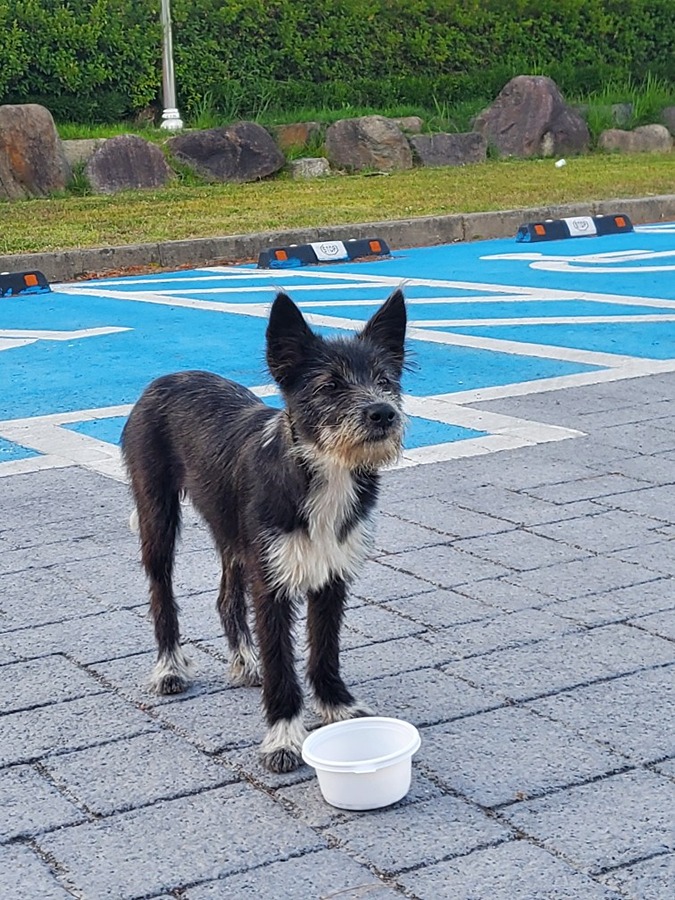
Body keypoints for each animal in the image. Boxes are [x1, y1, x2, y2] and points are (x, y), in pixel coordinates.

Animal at [121, 290, 406, 772]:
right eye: (330, 386)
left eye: (386, 381)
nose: (383, 413)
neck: (322, 473)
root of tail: (166, 378)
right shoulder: (272, 585)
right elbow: (281, 663)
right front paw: (283, 738)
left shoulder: (330, 573)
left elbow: (324, 646)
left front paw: (337, 707)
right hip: (157, 516)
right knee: (161, 593)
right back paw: (170, 668)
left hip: (233, 535)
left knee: (225, 597)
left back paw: (243, 660)